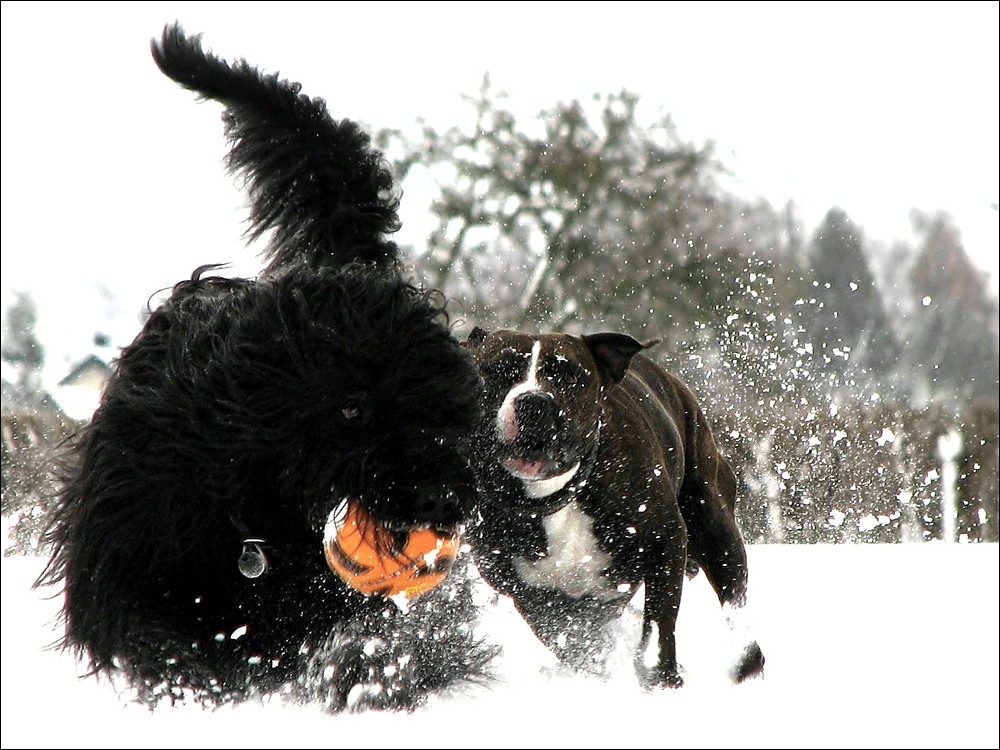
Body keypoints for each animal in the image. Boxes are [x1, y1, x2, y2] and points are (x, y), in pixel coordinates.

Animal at [35, 25, 496, 716]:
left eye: (448, 405)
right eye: (353, 407)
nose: (446, 499)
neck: (256, 502)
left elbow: (387, 641)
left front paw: (366, 673)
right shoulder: (126, 554)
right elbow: (154, 636)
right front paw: (194, 680)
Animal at [464, 326, 760, 692]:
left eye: (569, 375)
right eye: (497, 371)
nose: (534, 402)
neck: (557, 492)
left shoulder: (665, 542)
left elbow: (659, 620)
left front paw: (661, 679)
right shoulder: (528, 591)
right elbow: (568, 640)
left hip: (714, 525)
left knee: (733, 598)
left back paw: (745, 662)